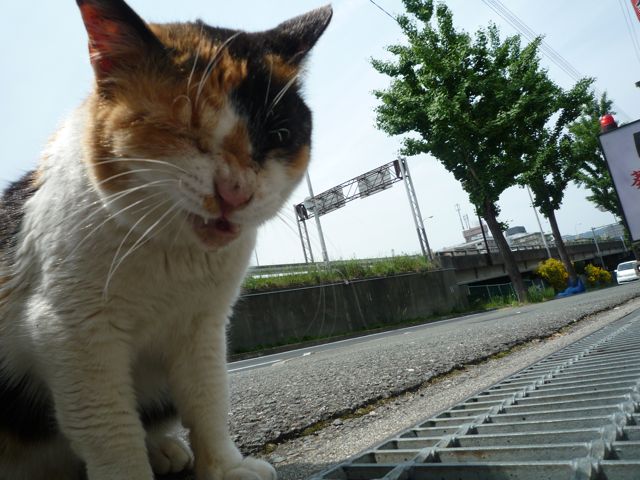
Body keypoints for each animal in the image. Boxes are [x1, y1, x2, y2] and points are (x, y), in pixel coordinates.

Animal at [0, 0, 331, 479]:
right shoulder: (72, 334)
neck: (171, 258)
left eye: (279, 136)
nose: (235, 191)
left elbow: (208, 399)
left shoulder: (204, 326)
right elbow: (109, 428)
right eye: (183, 128)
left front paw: (225, 468)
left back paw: (164, 449)